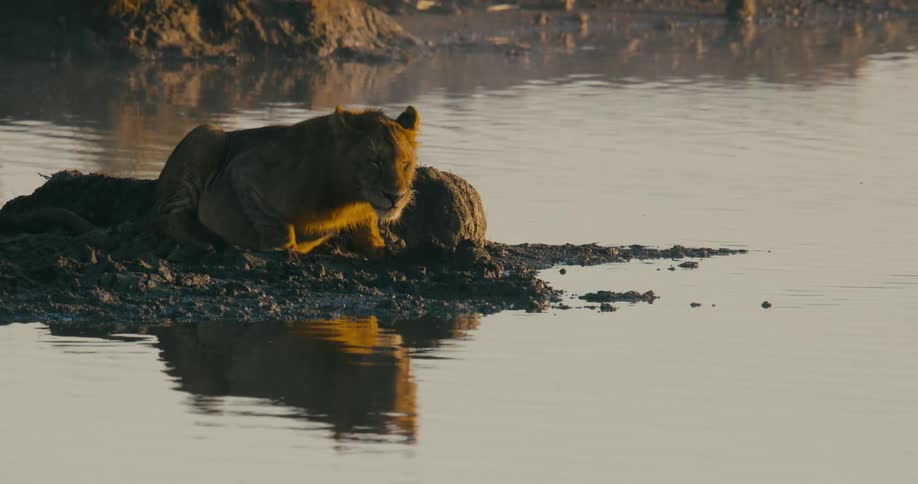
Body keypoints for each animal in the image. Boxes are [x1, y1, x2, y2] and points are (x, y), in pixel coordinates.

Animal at [154, 105, 419, 256]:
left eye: (405, 164)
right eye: (375, 162)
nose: (395, 197)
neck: (352, 197)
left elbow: (368, 226)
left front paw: (381, 245)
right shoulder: (244, 170)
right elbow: (273, 220)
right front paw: (284, 249)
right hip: (207, 136)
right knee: (167, 217)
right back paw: (205, 240)